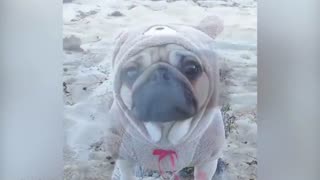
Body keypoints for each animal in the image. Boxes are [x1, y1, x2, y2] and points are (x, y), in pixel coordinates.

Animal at [106, 16, 226, 179]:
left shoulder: (206, 161)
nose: (159, 74)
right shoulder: (124, 156)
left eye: (192, 68)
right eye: (131, 72)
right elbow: (127, 173)